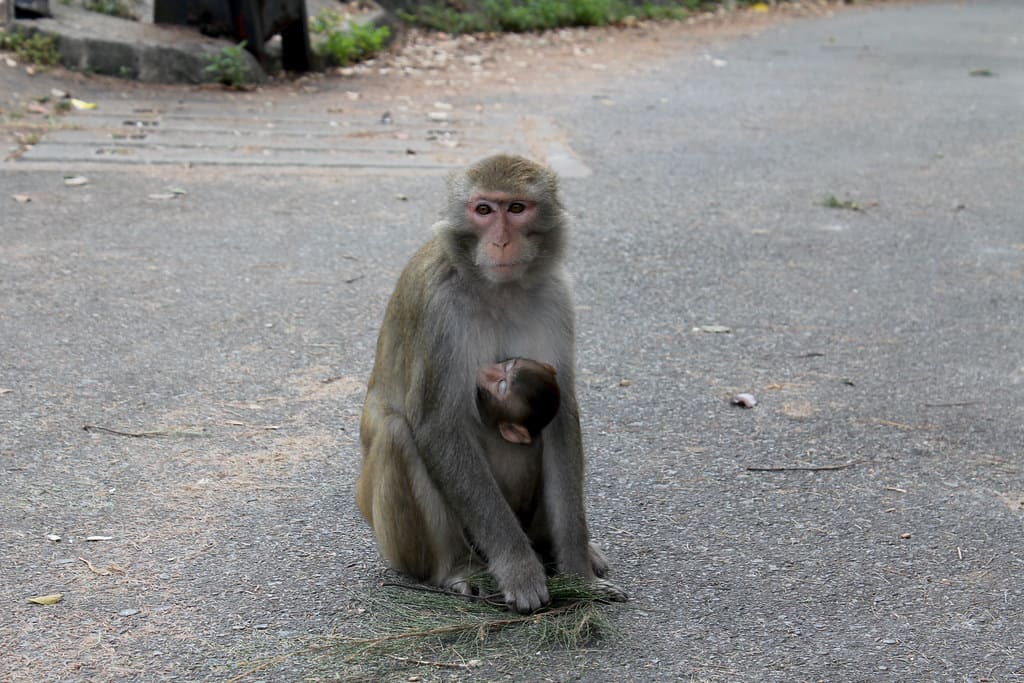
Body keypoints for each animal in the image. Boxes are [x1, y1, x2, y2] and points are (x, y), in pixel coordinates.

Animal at [356, 154, 626, 614]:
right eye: (483, 210)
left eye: (516, 209)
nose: (501, 242)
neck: (498, 289)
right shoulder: (438, 307)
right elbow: (437, 426)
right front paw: (519, 569)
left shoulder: (557, 297)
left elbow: (559, 418)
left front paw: (579, 576)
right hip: (398, 545)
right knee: (397, 433)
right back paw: (458, 569)